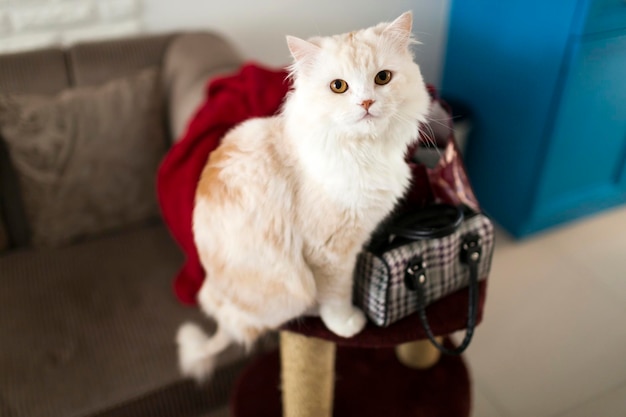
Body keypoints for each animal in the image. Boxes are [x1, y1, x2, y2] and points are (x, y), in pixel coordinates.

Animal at [174, 10, 428, 380]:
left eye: (383, 78)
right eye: (339, 86)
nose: (366, 102)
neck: (364, 152)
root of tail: (222, 311)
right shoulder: (329, 252)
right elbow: (337, 295)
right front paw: (346, 324)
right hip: (292, 288)